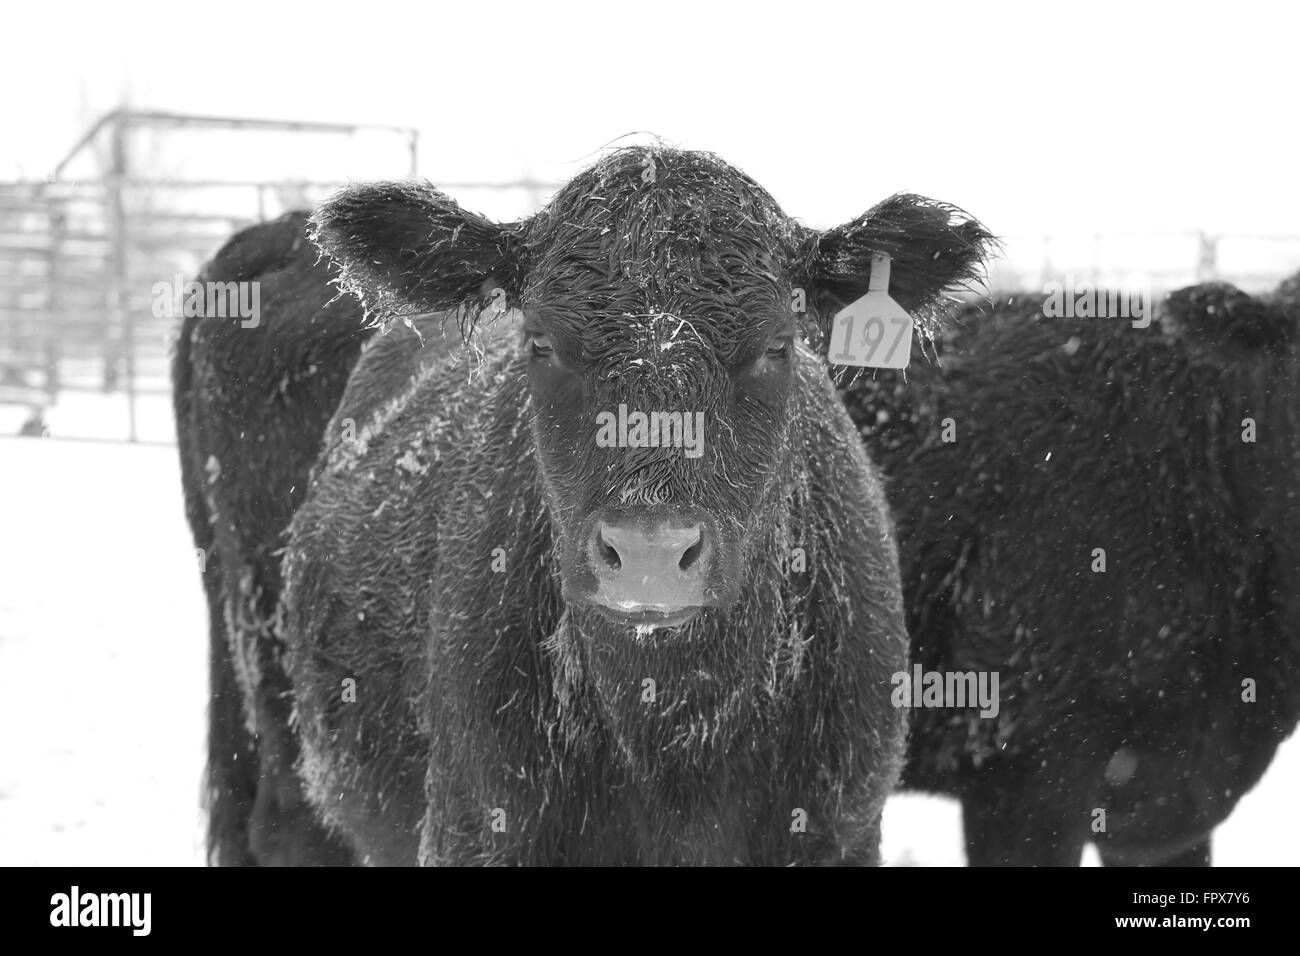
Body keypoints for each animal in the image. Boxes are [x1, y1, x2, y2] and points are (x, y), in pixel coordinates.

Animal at [173, 145, 994, 865]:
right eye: (541, 343)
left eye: (777, 346)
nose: (651, 555)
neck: (673, 736)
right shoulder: (475, 826)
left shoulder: (840, 831)